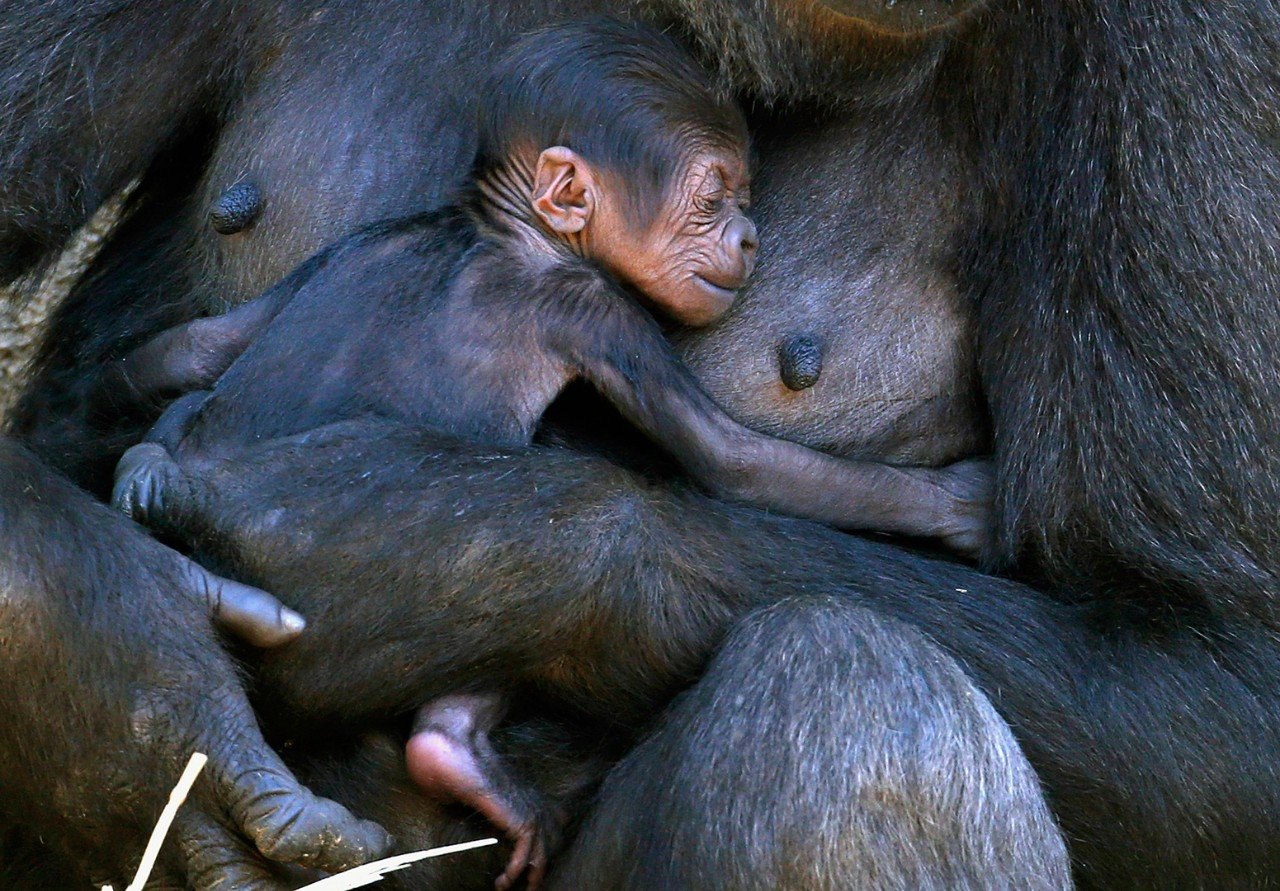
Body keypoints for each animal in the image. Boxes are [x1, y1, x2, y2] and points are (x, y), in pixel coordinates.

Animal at [110, 15, 988, 891]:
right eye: (714, 197)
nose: (748, 234)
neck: (503, 228)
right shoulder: (597, 306)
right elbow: (732, 460)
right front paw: (955, 503)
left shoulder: (351, 249)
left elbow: (200, 344)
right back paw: (454, 748)